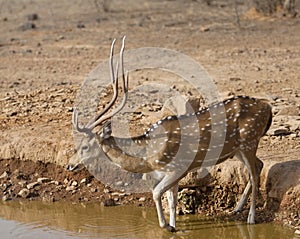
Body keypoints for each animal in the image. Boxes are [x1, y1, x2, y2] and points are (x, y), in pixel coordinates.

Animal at [67, 37, 272, 232]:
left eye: (85, 146)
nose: (70, 165)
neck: (147, 155)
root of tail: (267, 107)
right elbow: (172, 201)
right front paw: (173, 226)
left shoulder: (179, 167)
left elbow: (156, 193)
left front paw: (166, 226)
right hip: (237, 149)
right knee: (259, 166)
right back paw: (237, 208)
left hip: (249, 140)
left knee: (254, 175)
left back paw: (251, 218)